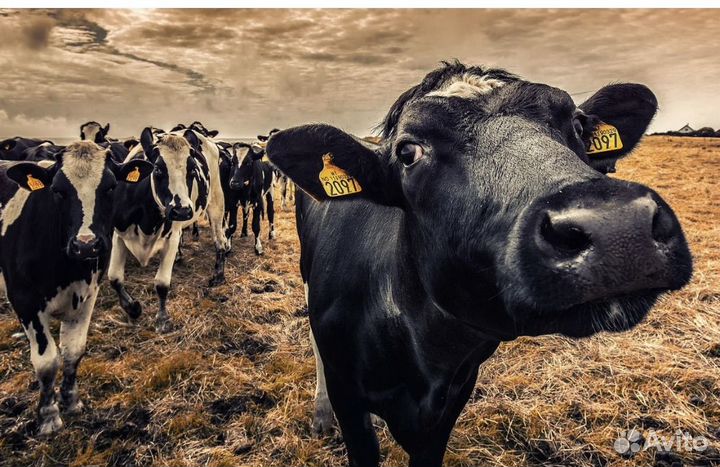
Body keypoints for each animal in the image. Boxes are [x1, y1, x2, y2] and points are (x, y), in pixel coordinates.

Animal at [0, 142, 151, 435]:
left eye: (110, 187)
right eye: (58, 190)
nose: (86, 245)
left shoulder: (87, 294)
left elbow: (73, 351)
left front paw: (71, 401)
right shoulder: (24, 300)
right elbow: (47, 361)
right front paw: (48, 416)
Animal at [108, 127, 229, 333]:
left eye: (192, 169)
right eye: (157, 169)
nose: (182, 210)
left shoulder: (171, 238)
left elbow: (162, 283)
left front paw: (162, 319)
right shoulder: (118, 234)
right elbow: (114, 278)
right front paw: (133, 309)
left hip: (216, 201)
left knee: (219, 241)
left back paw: (218, 275)